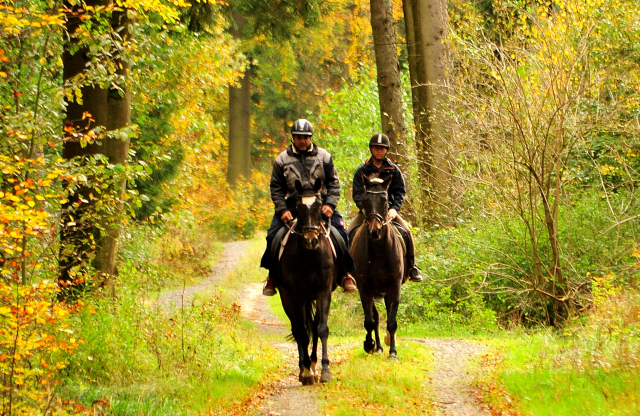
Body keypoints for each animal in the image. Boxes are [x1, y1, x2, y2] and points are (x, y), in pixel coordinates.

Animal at [278, 177, 338, 386]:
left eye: (319, 205)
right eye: (298, 206)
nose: (311, 240)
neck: (310, 256)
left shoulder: (323, 293)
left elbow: (321, 328)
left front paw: (325, 371)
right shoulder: (296, 297)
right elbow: (303, 333)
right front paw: (305, 373)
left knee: (312, 325)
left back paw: (311, 363)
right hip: (288, 299)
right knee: (298, 330)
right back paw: (303, 367)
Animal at [350, 174, 404, 360]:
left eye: (385, 200)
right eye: (366, 200)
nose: (375, 231)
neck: (379, 249)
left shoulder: (394, 286)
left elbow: (392, 321)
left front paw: (393, 353)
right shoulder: (365, 288)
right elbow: (370, 321)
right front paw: (369, 344)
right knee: (376, 317)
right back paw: (378, 346)